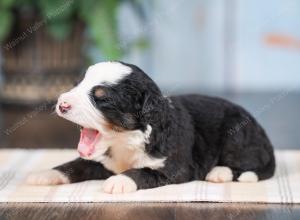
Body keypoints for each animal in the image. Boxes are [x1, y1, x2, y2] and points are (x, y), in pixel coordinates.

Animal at [27, 61, 276, 193]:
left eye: (101, 98)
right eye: (77, 85)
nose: (62, 104)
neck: (127, 141)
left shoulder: (175, 167)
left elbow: (142, 171)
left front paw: (119, 181)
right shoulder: (101, 161)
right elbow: (74, 164)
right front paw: (45, 174)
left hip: (237, 135)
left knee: (248, 165)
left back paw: (219, 172)